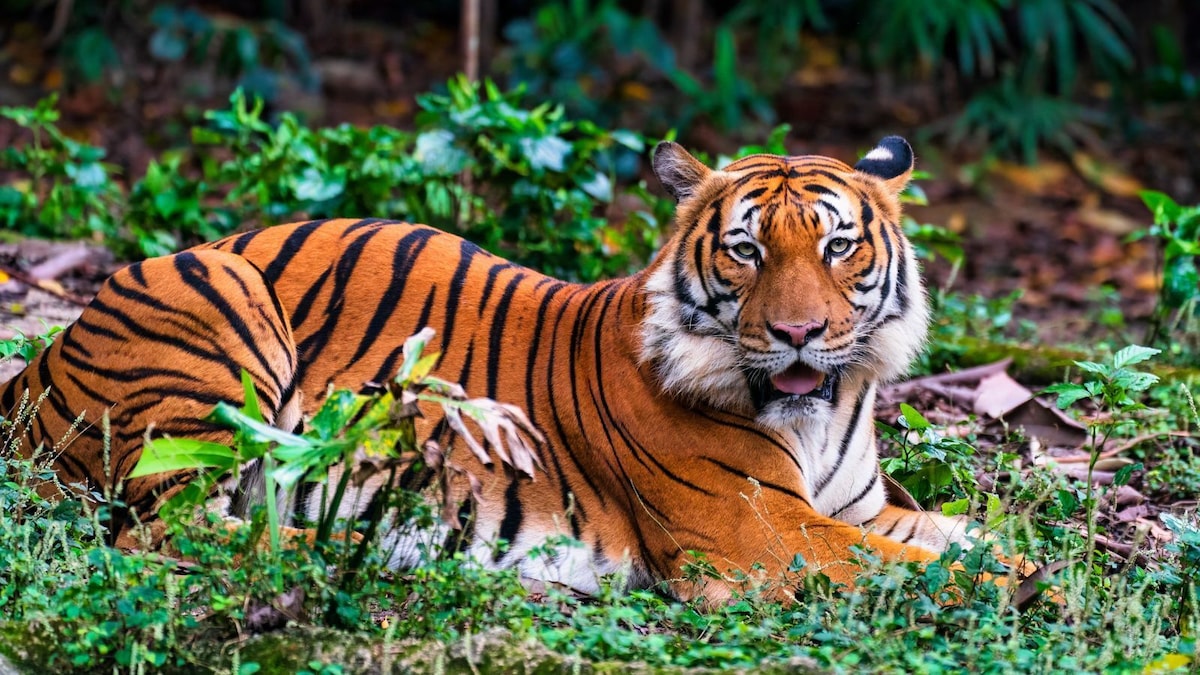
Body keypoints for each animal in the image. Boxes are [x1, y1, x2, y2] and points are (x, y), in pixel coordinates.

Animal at [0, 136, 974, 603]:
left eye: (838, 246)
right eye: (746, 250)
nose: (800, 332)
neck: (822, 409)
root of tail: (38, 360)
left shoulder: (856, 511)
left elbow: (962, 539)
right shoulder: (763, 534)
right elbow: (937, 569)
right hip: (221, 305)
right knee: (170, 531)